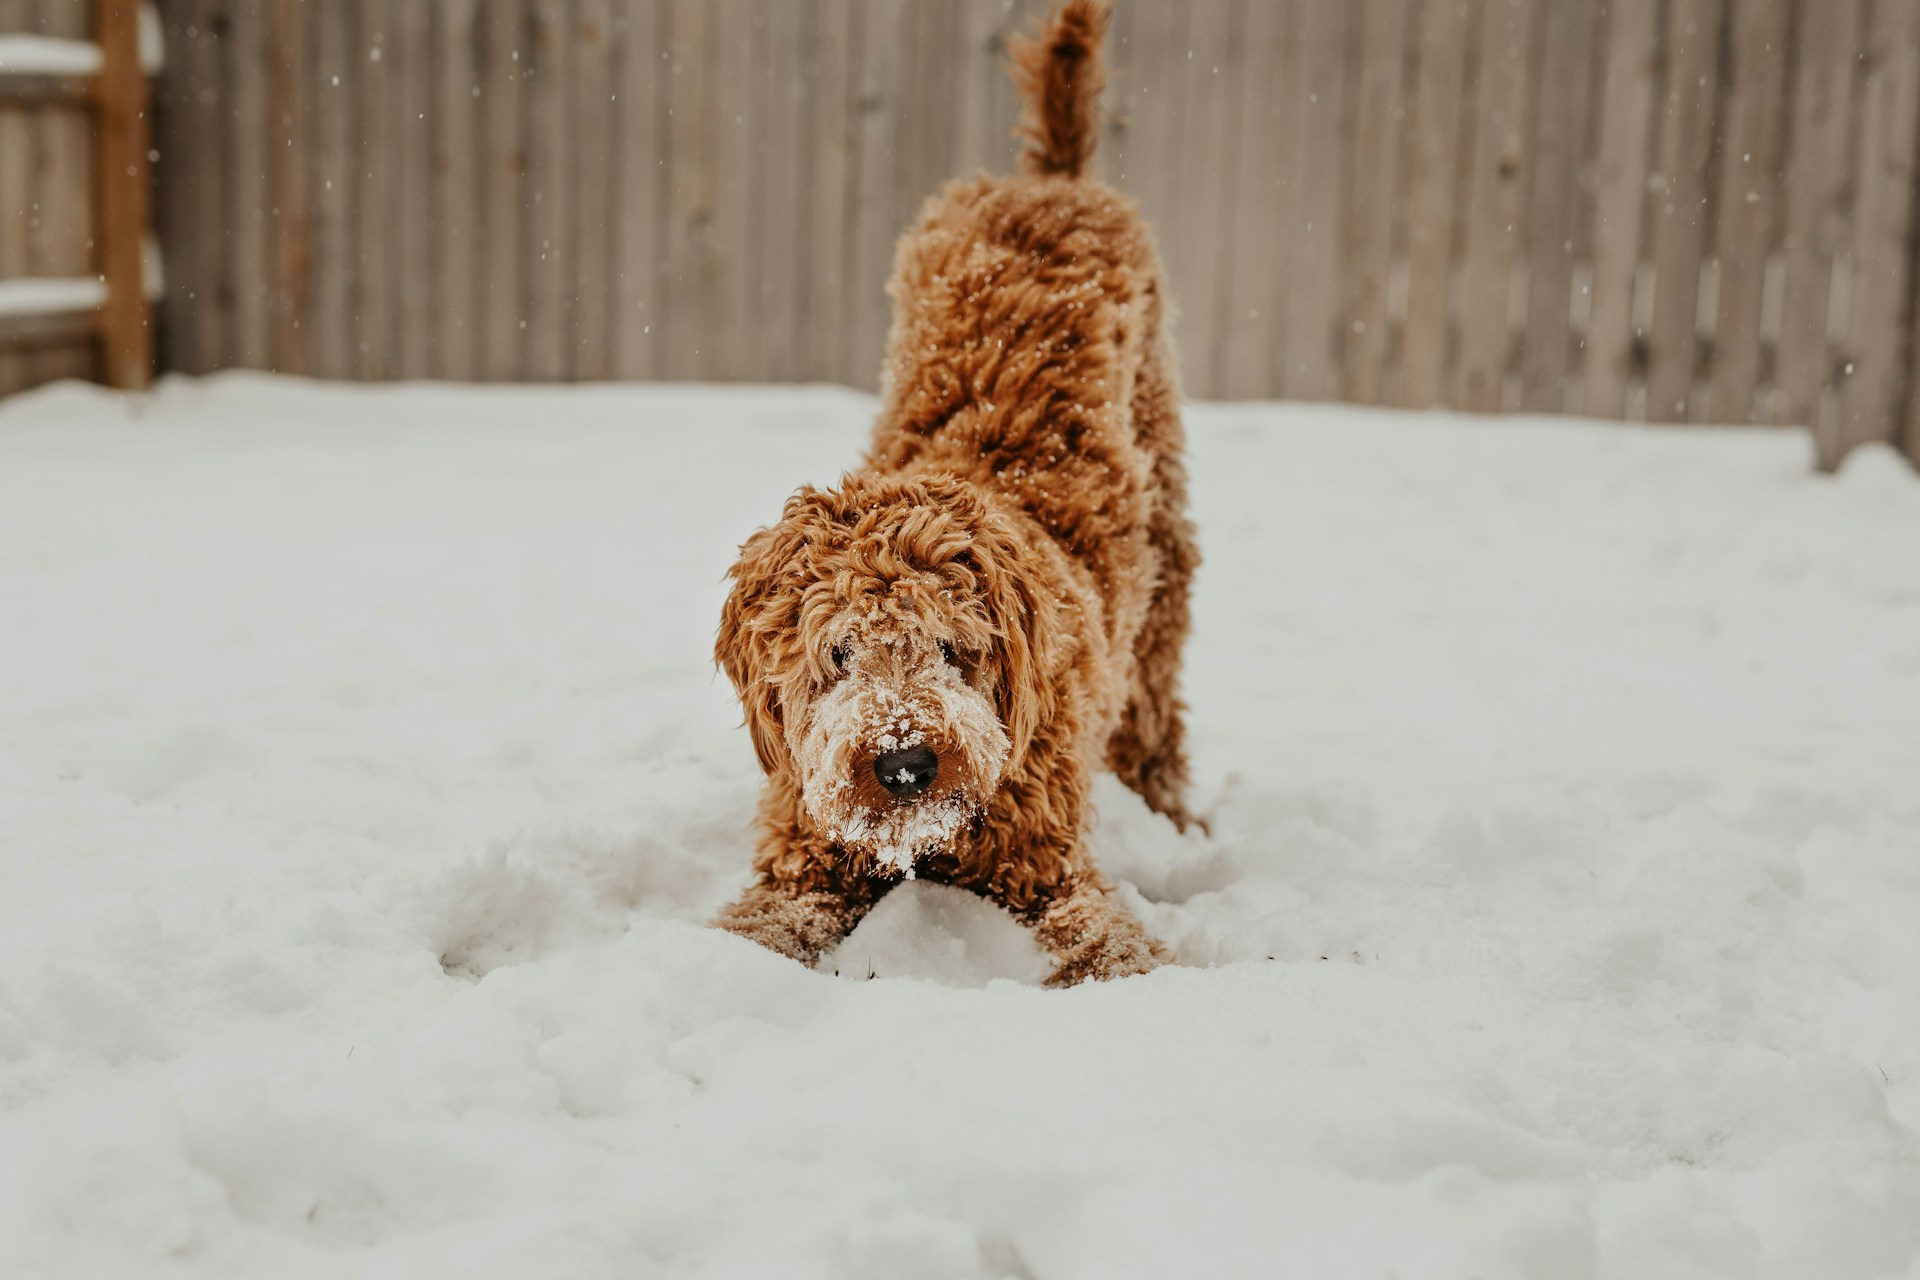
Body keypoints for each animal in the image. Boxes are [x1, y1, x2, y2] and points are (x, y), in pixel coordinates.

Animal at [718, 0, 1198, 990]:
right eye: (837, 654)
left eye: (952, 647)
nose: (905, 762)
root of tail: (1048, 181)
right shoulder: (803, 852)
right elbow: (762, 924)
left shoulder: (1049, 862)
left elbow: (1106, 940)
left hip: (1166, 536)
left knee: (1156, 701)